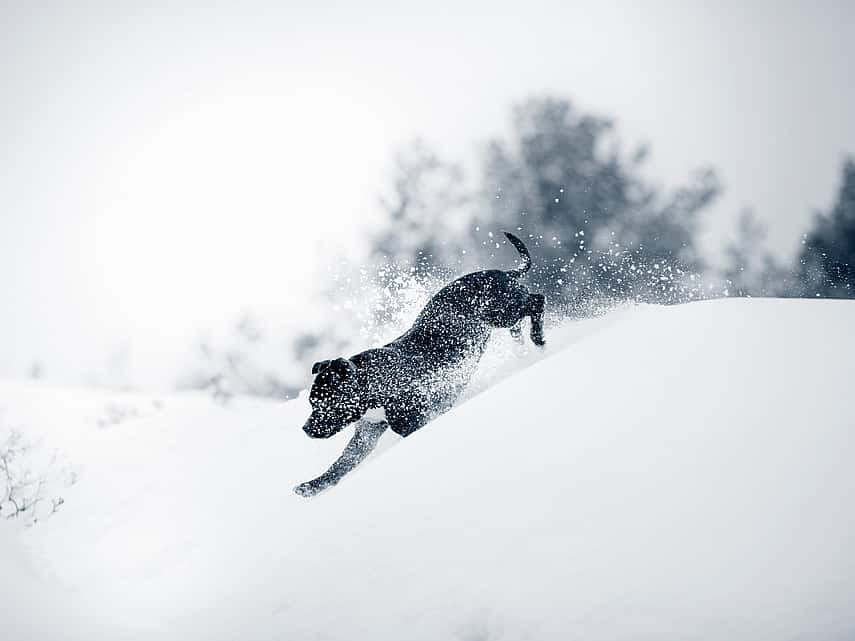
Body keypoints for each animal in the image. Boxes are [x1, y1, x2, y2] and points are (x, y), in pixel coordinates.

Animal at [294, 232, 544, 498]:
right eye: (311, 402)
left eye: (326, 402)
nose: (305, 428)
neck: (372, 384)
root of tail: (502, 273)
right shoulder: (365, 437)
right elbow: (339, 466)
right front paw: (312, 486)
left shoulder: (415, 422)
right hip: (505, 317)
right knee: (521, 323)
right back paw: (524, 349)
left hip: (503, 311)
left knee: (537, 302)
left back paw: (539, 339)